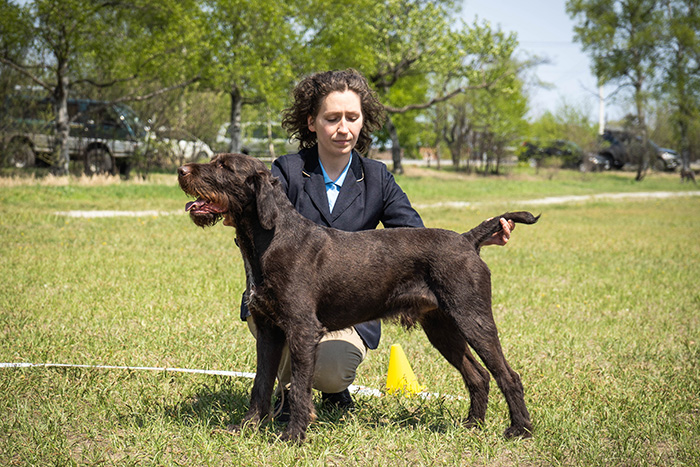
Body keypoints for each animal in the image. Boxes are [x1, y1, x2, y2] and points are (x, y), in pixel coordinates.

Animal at [179, 155, 536, 444]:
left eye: (225, 167)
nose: (181, 170)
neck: (271, 238)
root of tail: (466, 240)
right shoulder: (269, 331)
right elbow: (261, 383)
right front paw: (248, 426)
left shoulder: (302, 329)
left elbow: (299, 387)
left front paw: (293, 435)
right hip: (441, 327)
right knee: (478, 375)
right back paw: (472, 424)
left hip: (473, 318)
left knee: (508, 375)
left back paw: (519, 429)